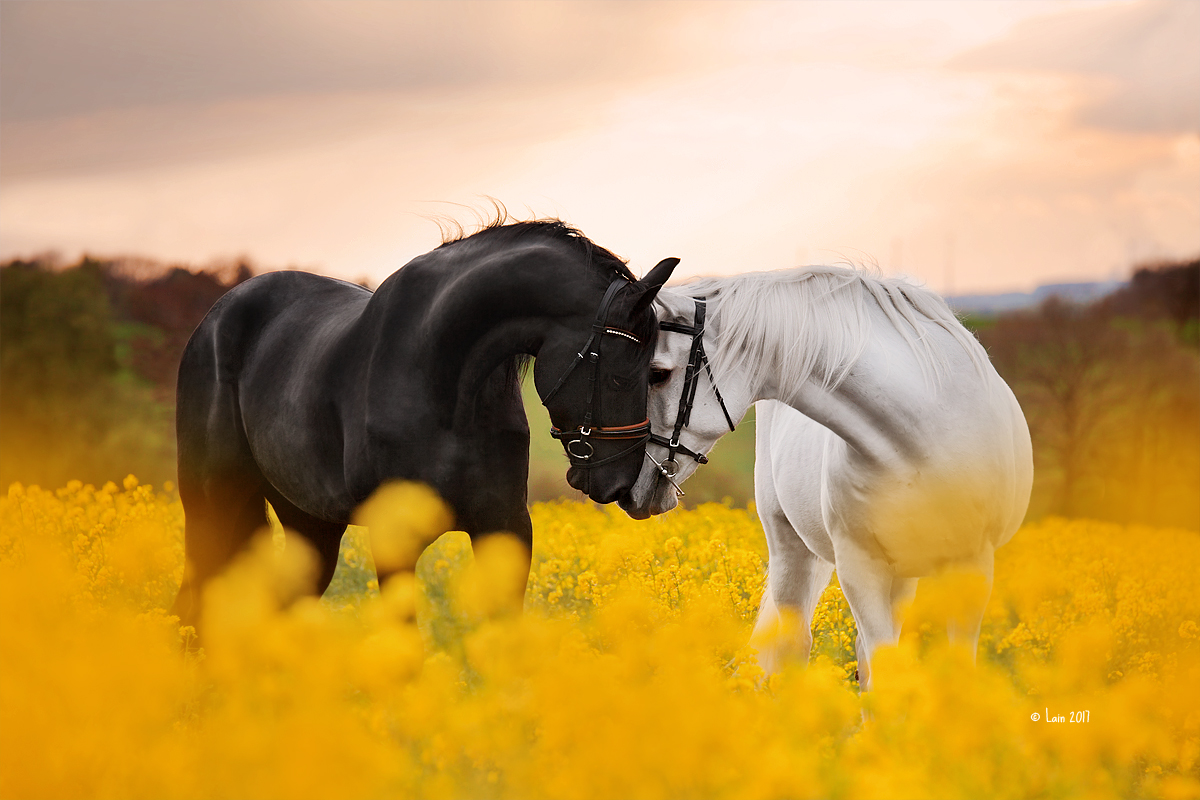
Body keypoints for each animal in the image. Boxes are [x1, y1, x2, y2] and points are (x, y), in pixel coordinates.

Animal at [170, 220, 681, 633]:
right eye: (621, 373)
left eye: (656, 372)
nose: (621, 481)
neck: (446, 379)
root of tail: (215, 318)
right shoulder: (392, 536)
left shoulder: (506, 527)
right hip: (212, 500)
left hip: (310, 523)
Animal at [619, 267, 1032, 690]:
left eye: (657, 374)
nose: (629, 487)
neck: (924, 433)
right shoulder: (859, 567)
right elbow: (881, 665)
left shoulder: (973, 565)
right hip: (790, 547)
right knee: (796, 642)